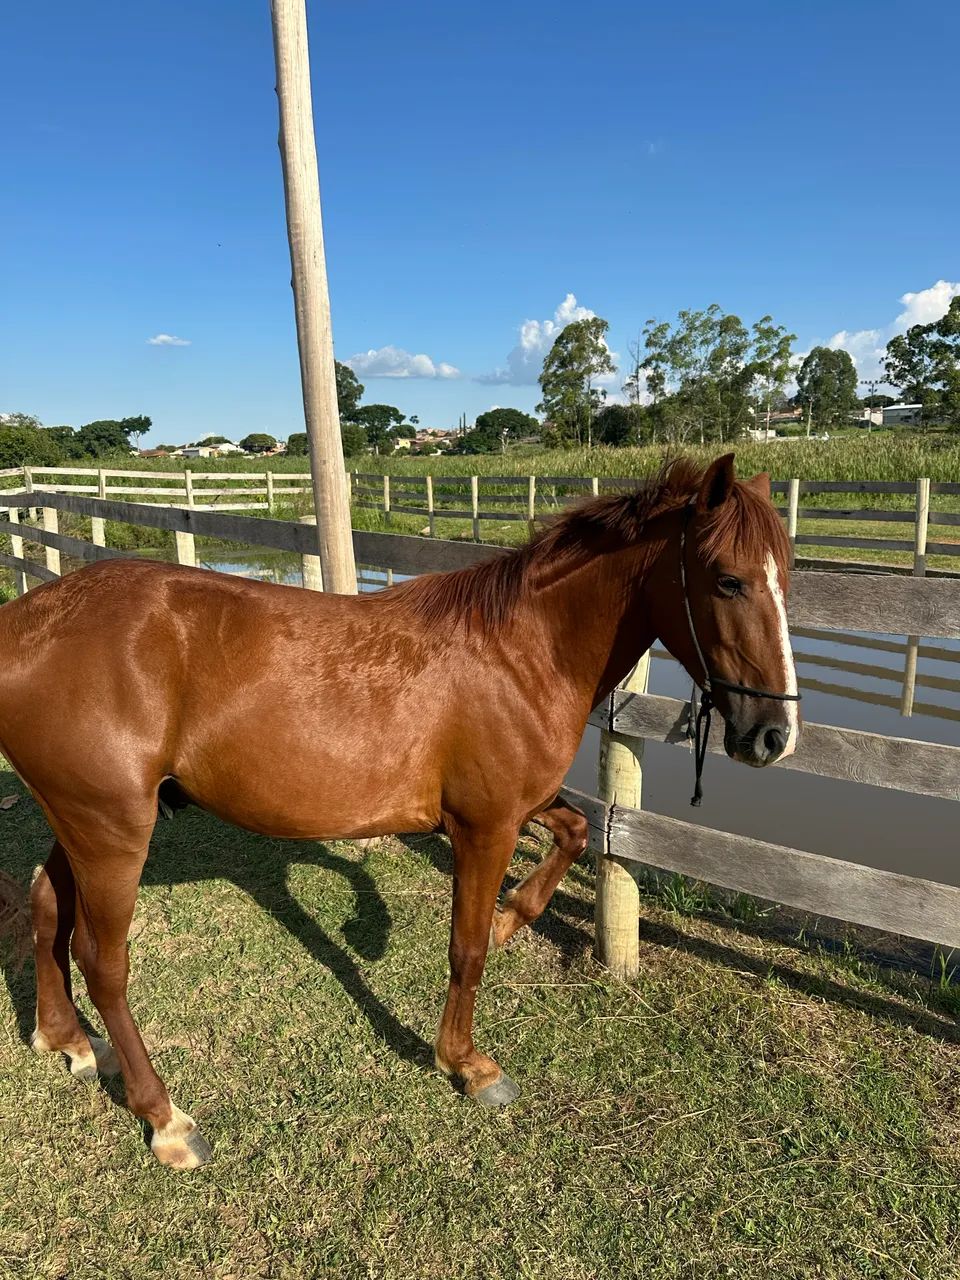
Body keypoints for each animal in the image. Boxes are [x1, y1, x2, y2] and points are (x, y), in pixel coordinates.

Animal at [0, 452, 799, 1169]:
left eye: (786, 576)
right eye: (728, 580)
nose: (774, 735)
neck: (520, 651)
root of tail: (23, 624)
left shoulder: (519, 805)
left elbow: (573, 835)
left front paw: (510, 917)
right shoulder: (485, 825)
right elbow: (466, 950)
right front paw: (467, 1063)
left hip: (82, 822)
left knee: (45, 906)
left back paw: (66, 1040)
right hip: (112, 830)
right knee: (103, 962)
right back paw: (163, 1116)